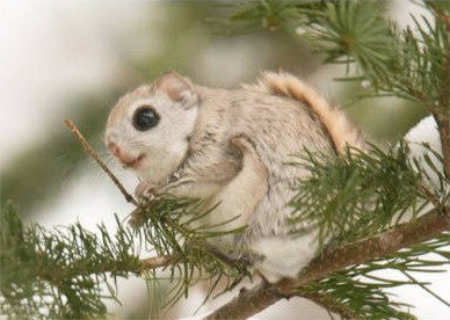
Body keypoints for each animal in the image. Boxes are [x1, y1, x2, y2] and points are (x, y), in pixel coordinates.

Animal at [105, 70, 366, 280]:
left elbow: (194, 179)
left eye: (145, 118)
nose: (112, 147)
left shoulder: (218, 150)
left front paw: (150, 191)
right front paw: (140, 206)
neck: (196, 121)